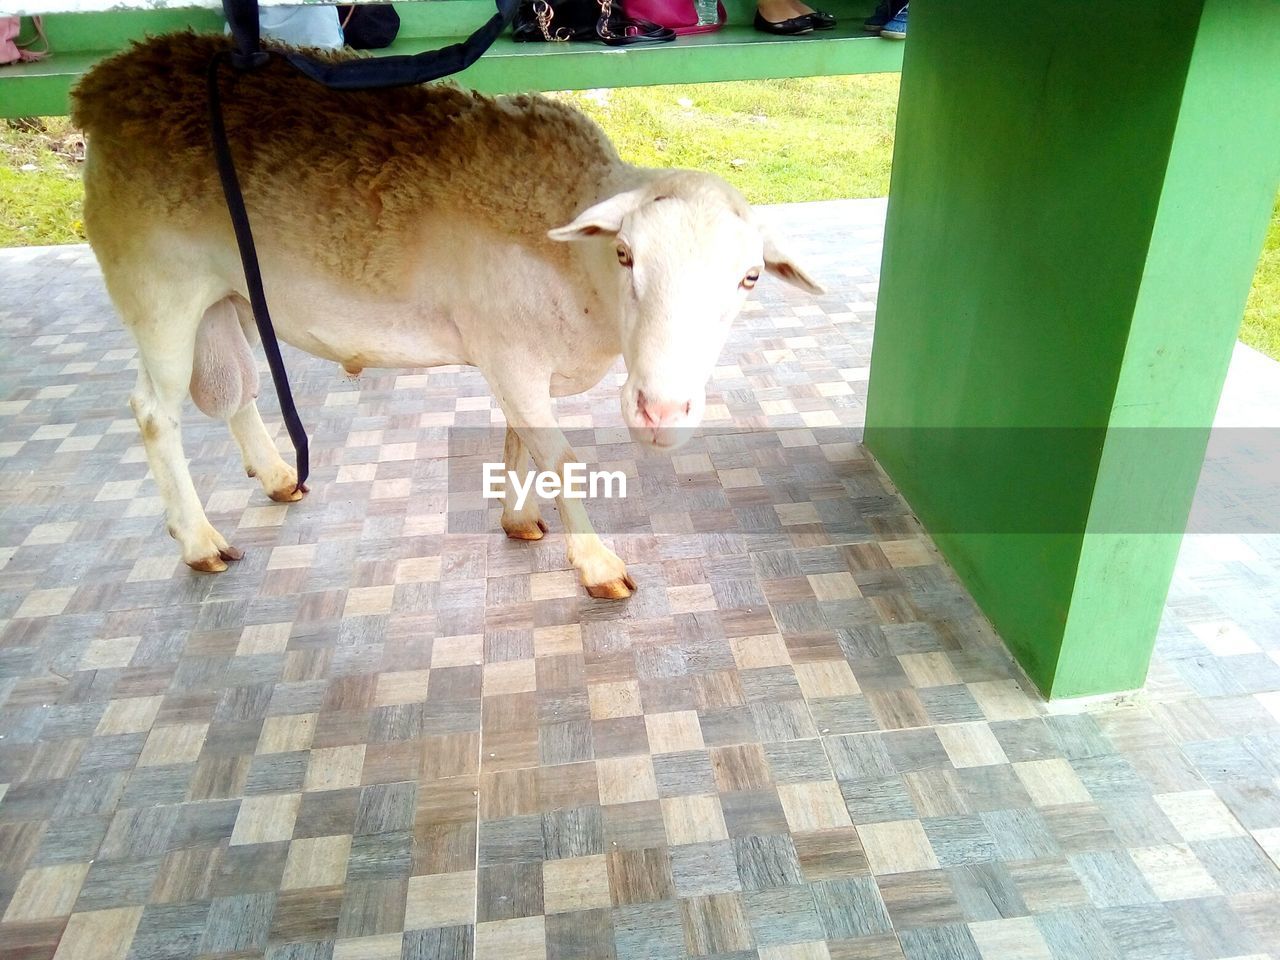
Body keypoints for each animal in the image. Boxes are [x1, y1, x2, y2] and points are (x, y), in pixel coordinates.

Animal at [72, 35, 819, 601]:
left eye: (750, 277)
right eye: (626, 255)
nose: (663, 412)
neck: (575, 262)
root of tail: (106, 84)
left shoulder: (518, 357)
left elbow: (522, 443)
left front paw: (520, 519)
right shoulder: (510, 354)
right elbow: (560, 457)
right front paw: (598, 565)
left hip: (226, 294)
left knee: (233, 389)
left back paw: (278, 474)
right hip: (159, 290)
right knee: (153, 411)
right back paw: (199, 540)